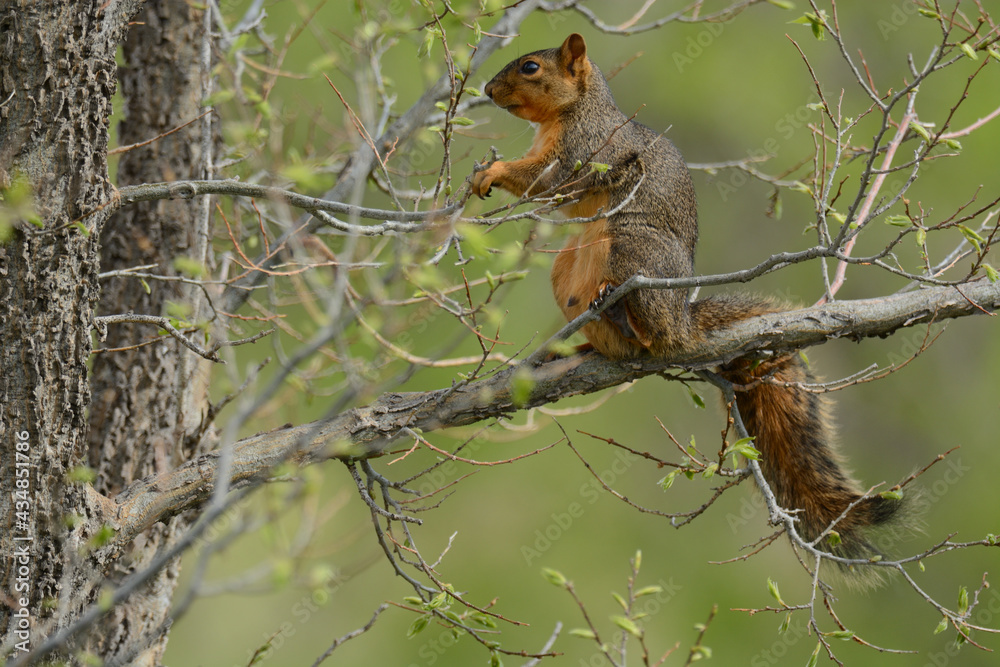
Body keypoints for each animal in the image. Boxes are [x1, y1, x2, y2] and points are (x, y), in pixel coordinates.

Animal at [472, 33, 905, 573]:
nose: (487, 90)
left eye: (531, 67)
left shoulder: (589, 149)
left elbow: (551, 183)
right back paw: (584, 345)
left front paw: (493, 170)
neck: (573, 111)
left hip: (632, 246)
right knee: (620, 345)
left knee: (649, 333)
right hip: (567, 268)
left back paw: (620, 312)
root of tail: (682, 322)